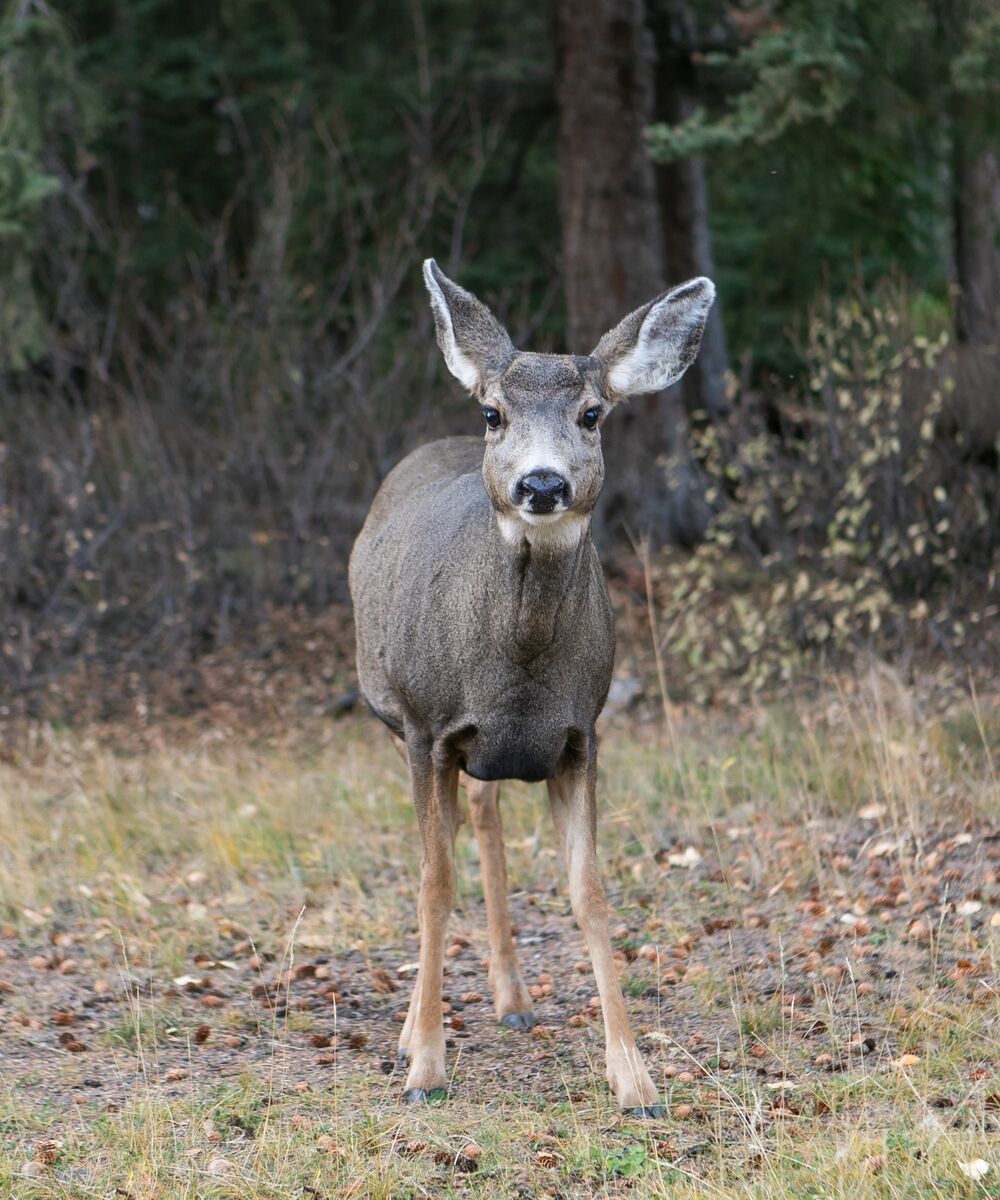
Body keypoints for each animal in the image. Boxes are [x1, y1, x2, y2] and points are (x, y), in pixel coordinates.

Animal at [349, 259, 715, 1116]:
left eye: (592, 413)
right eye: (493, 412)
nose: (541, 483)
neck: (517, 670)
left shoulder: (581, 735)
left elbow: (590, 892)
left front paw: (634, 1078)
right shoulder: (428, 728)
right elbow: (432, 883)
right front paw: (425, 1067)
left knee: (483, 813)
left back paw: (513, 999)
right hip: (397, 720)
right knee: (445, 842)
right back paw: (420, 1029)